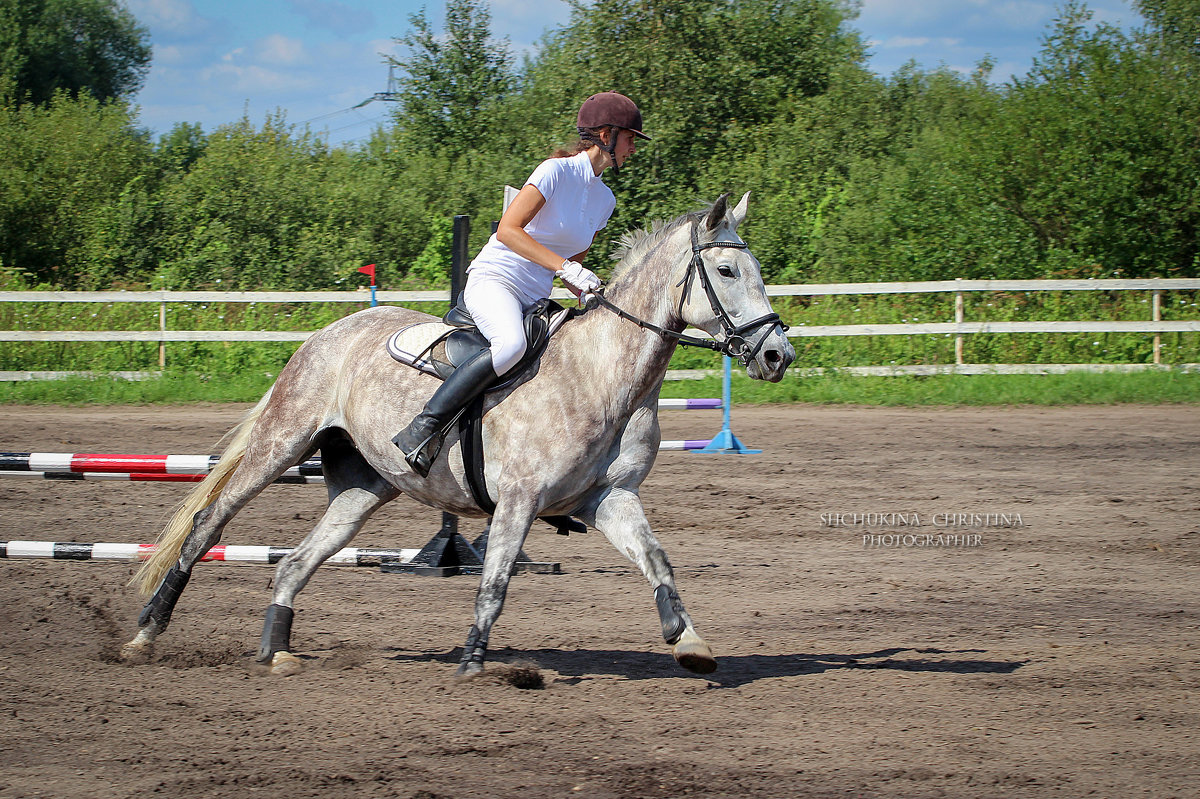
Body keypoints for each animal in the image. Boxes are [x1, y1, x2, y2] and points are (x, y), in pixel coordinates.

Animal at [121, 191, 796, 671]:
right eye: (727, 270)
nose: (776, 355)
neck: (601, 374)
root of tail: (324, 334)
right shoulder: (519, 500)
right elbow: (494, 582)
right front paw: (474, 660)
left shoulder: (608, 498)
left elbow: (657, 562)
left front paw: (690, 642)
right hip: (281, 446)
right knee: (208, 523)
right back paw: (147, 632)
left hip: (363, 488)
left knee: (294, 562)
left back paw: (277, 649)